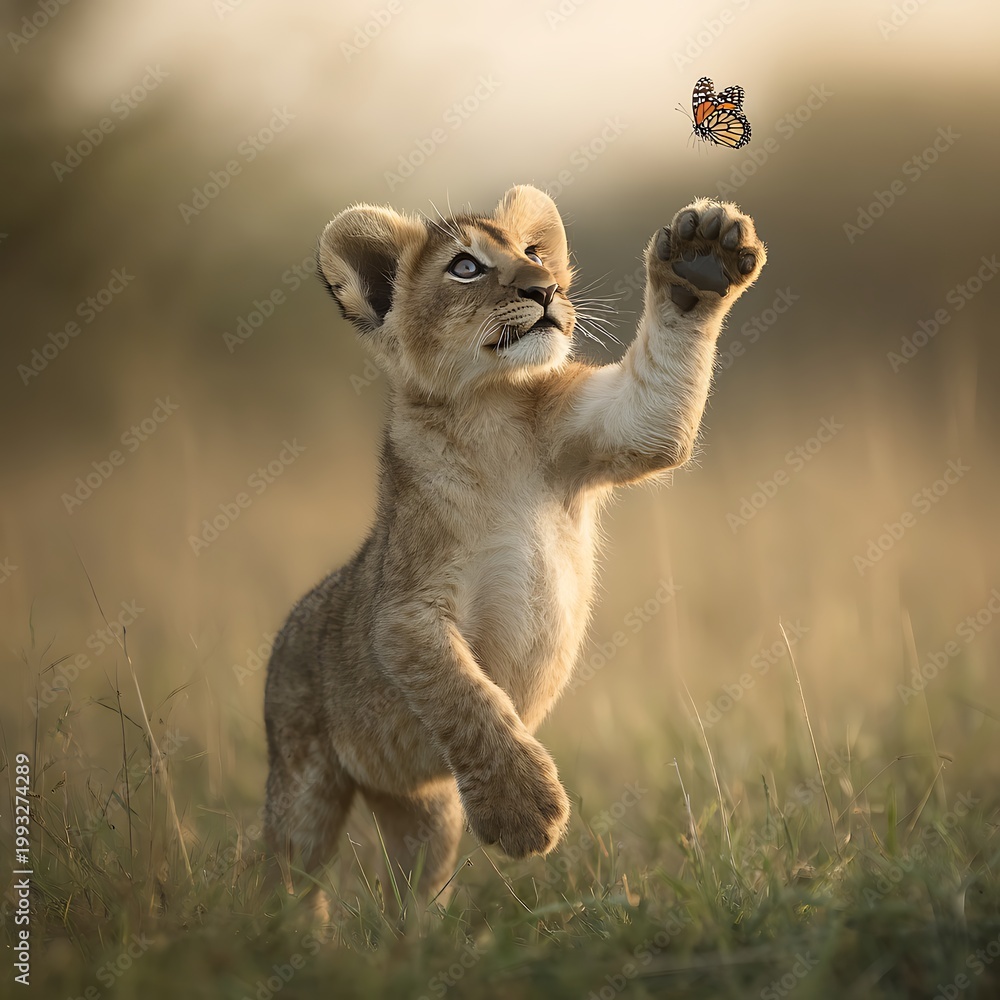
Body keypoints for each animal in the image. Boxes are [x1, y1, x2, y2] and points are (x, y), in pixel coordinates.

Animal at [263, 184, 765, 909]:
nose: (546, 287)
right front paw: (526, 813)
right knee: (288, 876)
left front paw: (702, 257)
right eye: (466, 267)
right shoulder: (405, 613)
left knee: (412, 887)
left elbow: (657, 407)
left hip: (426, 807)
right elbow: (468, 698)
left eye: (533, 252)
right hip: (302, 777)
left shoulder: (615, 424)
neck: (491, 410)